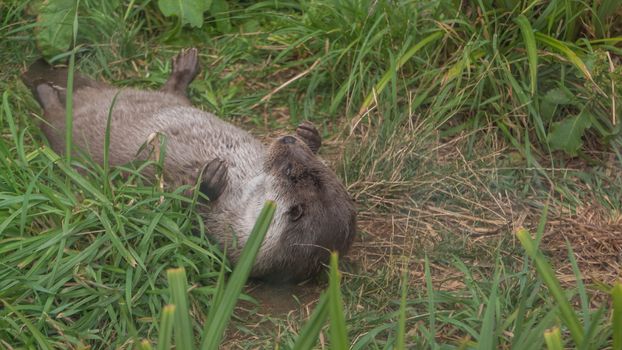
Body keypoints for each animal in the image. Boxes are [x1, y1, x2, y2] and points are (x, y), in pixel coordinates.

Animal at [22, 48, 356, 282]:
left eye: (288, 170)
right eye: (317, 165)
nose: (287, 139)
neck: (242, 196)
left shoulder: (218, 231)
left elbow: (169, 212)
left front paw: (206, 183)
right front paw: (310, 135)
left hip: (63, 137)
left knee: (50, 118)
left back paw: (44, 92)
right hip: (165, 101)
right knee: (173, 94)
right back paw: (185, 67)